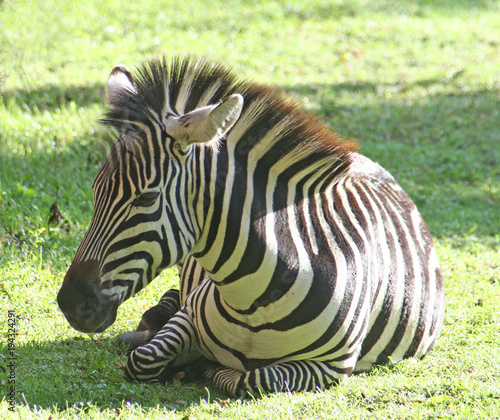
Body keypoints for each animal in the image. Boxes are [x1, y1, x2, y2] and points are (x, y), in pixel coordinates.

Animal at [58, 55, 446, 394]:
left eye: (146, 198)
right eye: (95, 191)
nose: (68, 303)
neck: (253, 303)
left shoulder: (332, 366)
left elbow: (254, 378)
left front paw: (203, 366)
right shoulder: (187, 318)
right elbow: (143, 360)